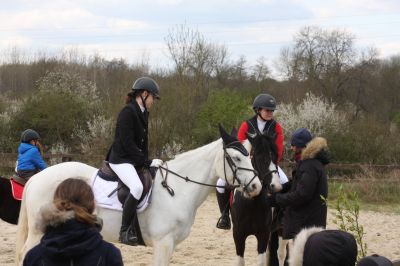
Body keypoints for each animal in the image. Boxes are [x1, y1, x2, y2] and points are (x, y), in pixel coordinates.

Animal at [16, 131, 262, 264]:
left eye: (248, 155)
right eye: (236, 158)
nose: (257, 186)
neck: (178, 189)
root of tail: (36, 178)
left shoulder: (170, 245)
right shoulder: (163, 243)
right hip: (38, 232)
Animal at [230, 132, 282, 264]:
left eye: (276, 157)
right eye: (260, 157)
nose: (276, 186)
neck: (252, 202)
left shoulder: (263, 235)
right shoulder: (238, 234)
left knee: (281, 254)